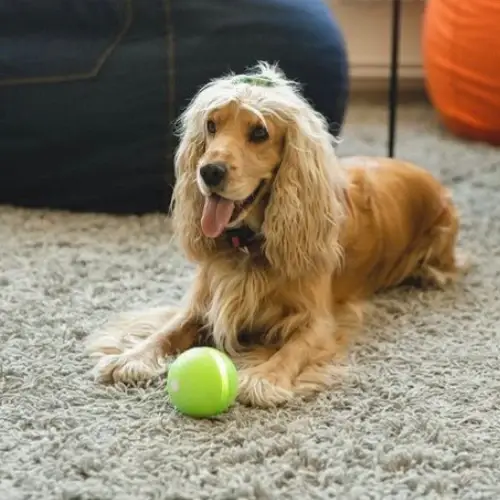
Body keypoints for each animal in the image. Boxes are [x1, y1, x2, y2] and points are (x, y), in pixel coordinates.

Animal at [85, 61, 464, 406]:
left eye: (259, 133)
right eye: (211, 125)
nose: (208, 171)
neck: (248, 245)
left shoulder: (321, 321)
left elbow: (293, 348)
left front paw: (264, 377)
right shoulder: (203, 302)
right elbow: (167, 330)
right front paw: (133, 356)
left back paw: (429, 274)